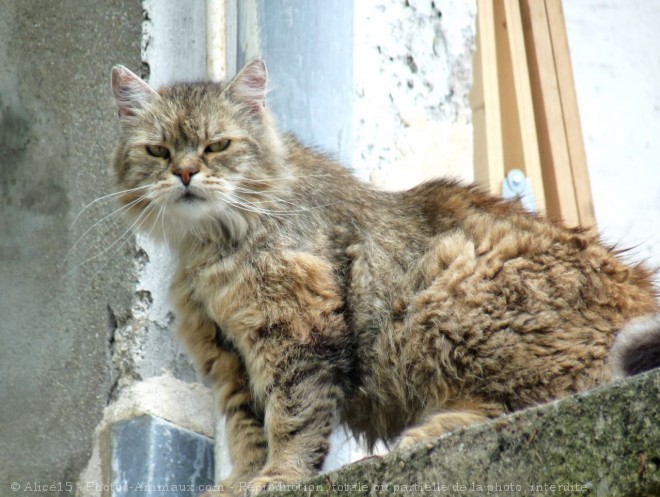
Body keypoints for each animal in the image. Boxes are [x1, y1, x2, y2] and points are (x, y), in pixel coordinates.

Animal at [111, 60, 656, 494]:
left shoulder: (297, 333)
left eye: (217, 145)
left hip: (449, 291)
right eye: (158, 151)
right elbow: (248, 433)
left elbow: (292, 420)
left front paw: (278, 477)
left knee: (534, 399)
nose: (185, 173)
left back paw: (427, 435)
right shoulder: (228, 357)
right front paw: (240, 482)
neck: (211, 246)